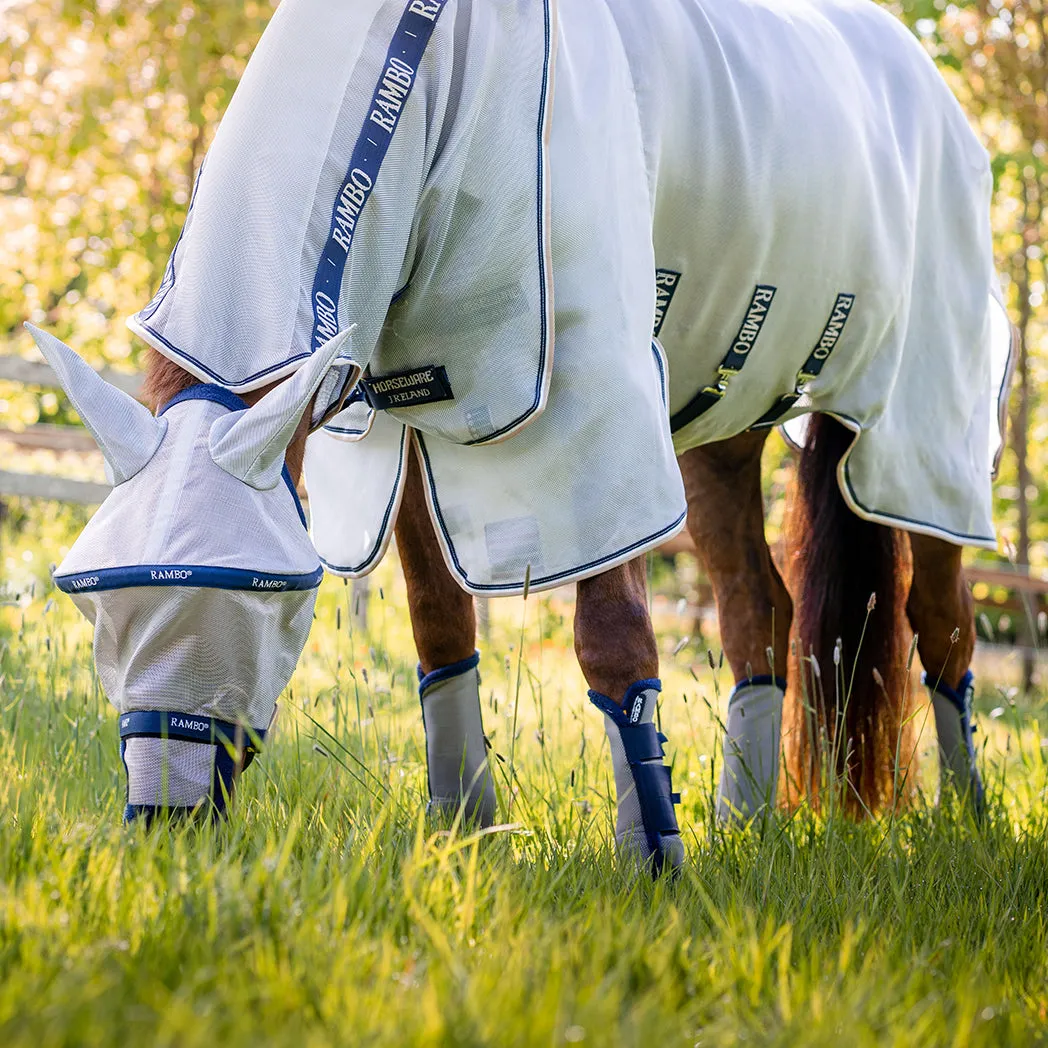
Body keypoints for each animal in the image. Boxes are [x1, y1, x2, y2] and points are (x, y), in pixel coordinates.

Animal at [34, 0, 1014, 871]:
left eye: (269, 598)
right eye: (96, 603)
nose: (165, 822)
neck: (434, 77)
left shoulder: (592, 408)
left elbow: (614, 639)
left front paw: (653, 865)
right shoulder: (403, 423)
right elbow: (439, 628)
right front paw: (466, 831)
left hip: (919, 439)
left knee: (943, 624)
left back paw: (967, 823)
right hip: (719, 439)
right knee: (758, 612)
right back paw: (744, 825)